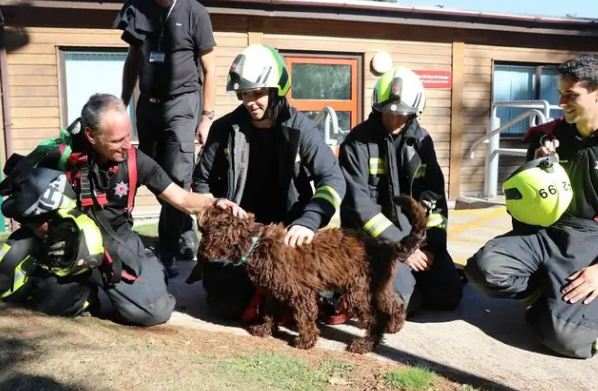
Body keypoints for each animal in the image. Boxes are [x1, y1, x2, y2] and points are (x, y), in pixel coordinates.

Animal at [196, 198, 426, 354]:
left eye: (206, 231)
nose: (202, 253)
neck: (256, 242)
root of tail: (385, 247)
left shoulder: (301, 293)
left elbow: (304, 317)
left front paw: (305, 341)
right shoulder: (274, 291)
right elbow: (269, 311)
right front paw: (264, 328)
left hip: (357, 292)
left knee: (374, 319)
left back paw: (365, 344)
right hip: (378, 286)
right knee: (394, 303)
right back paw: (394, 325)